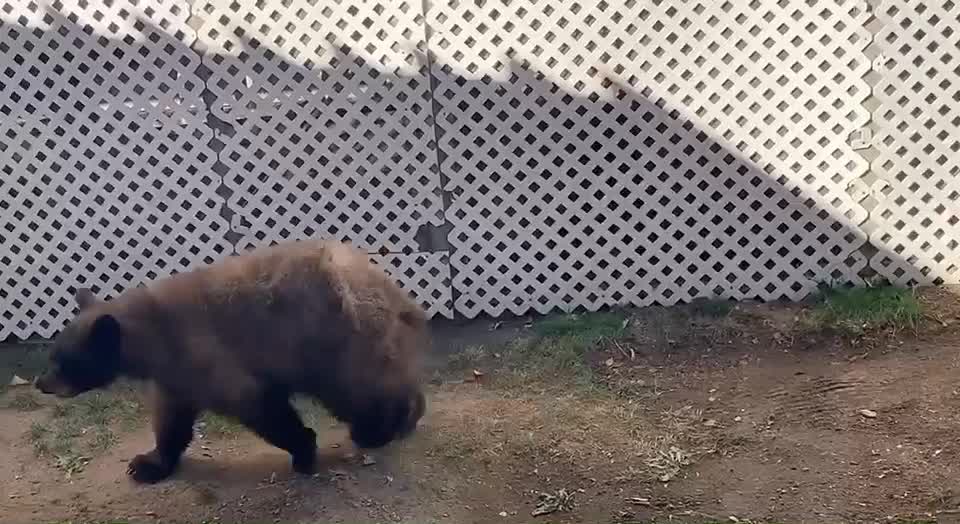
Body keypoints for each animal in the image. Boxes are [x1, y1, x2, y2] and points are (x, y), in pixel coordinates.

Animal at [34, 239, 428, 486]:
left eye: (63, 362)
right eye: (52, 357)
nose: (41, 383)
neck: (154, 332)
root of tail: (391, 291)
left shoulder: (208, 354)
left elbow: (260, 407)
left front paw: (304, 449)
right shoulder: (177, 375)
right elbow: (171, 421)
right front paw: (149, 463)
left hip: (336, 347)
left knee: (365, 394)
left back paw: (379, 430)